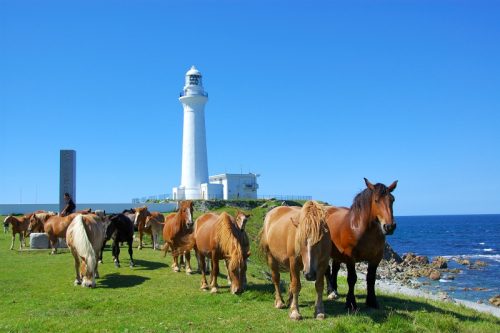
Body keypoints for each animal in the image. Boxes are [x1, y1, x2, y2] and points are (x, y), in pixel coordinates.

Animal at [324, 178, 398, 310]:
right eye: (376, 200)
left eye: (392, 199)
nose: (389, 226)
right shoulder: (350, 257)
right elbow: (352, 279)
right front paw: (351, 303)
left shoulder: (376, 258)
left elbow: (371, 278)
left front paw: (372, 301)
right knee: (327, 269)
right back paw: (331, 291)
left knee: (335, 269)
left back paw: (335, 290)